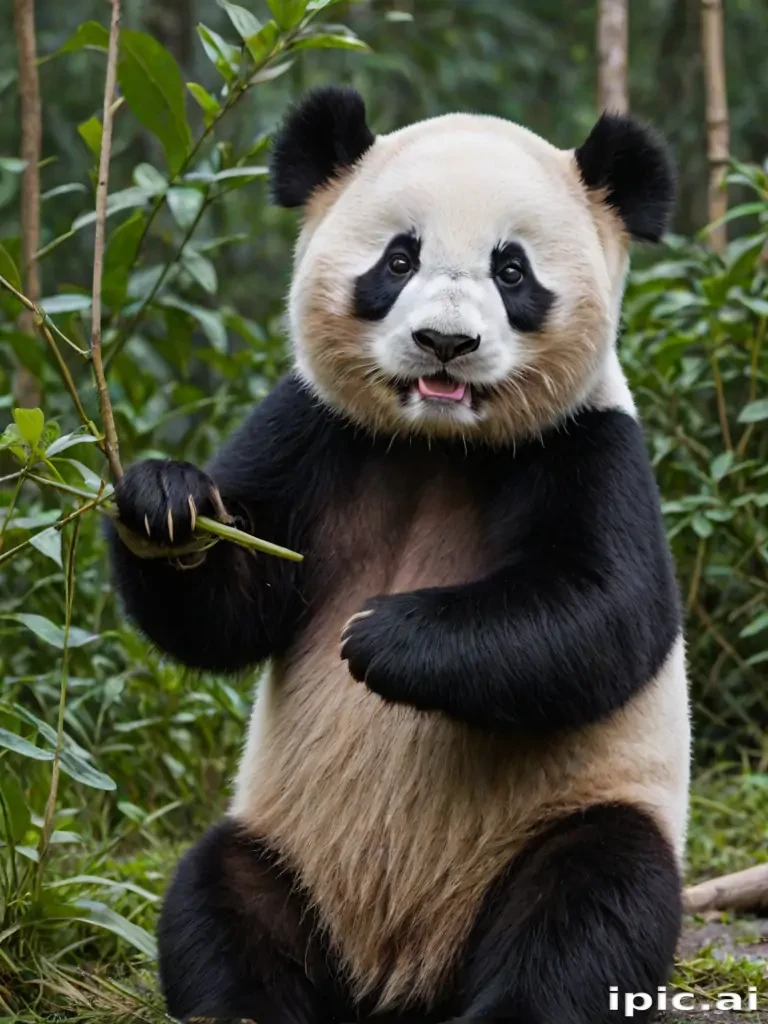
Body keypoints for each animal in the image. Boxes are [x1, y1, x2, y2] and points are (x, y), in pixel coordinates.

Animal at [108, 87, 690, 1024]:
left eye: (512, 271)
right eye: (399, 258)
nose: (445, 343)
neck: (436, 443)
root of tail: (396, 979)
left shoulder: (589, 444)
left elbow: (607, 611)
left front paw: (382, 638)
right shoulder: (314, 428)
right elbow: (230, 610)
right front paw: (170, 504)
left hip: (567, 818)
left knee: (587, 906)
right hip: (286, 848)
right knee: (216, 899)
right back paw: (249, 1003)